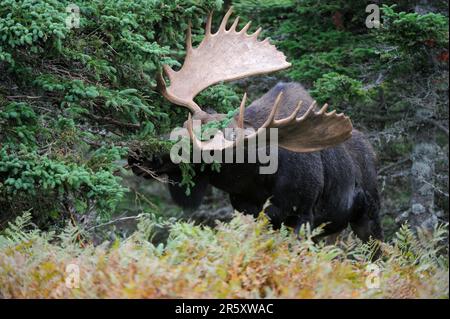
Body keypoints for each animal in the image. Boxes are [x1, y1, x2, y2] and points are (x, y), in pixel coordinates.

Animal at [128, 8, 384, 245]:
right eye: (180, 126)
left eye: (196, 148)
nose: (136, 152)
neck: (255, 178)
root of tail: (372, 151)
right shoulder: (247, 211)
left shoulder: (302, 214)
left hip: (368, 215)